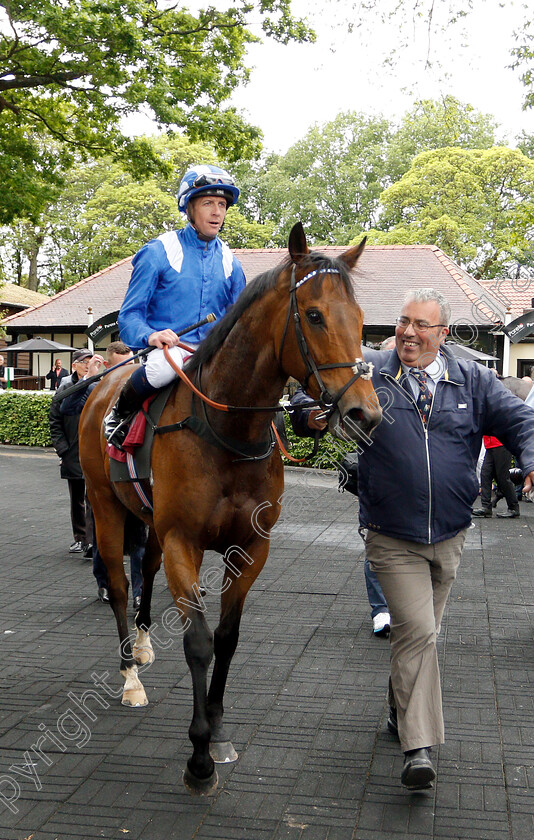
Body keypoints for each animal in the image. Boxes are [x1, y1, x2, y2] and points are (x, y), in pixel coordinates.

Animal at [78, 221, 382, 796]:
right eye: (314, 315)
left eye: (360, 320)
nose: (364, 413)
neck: (226, 432)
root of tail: (101, 383)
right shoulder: (185, 541)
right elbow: (198, 642)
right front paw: (199, 758)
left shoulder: (250, 546)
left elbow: (227, 637)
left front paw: (218, 730)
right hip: (105, 507)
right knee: (120, 583)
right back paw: (130, 675)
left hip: (150, 522)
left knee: (144, 570)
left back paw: (145, 646)